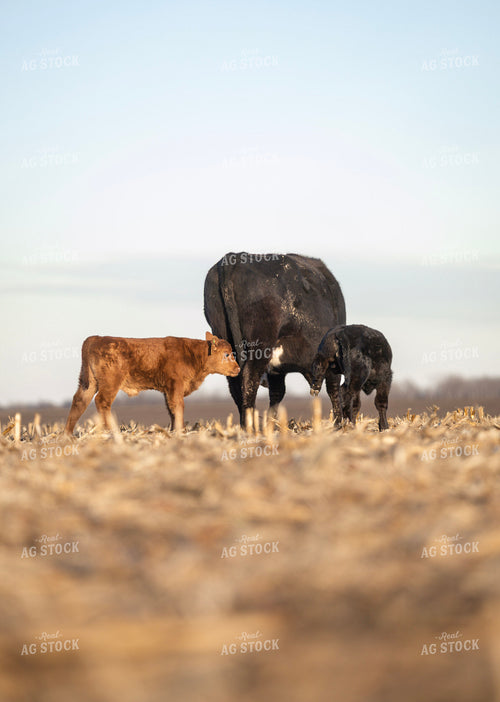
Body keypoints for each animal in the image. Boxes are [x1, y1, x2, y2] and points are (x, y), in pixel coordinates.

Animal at [64, 332, 240, 436]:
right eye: (227, 354)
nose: (238, 368)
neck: (193, 355)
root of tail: (97, 338)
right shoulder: (175, 384)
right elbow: (178, 407)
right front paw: (180, 431)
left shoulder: (167, 390)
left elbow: (171, 409)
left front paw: (173, 430)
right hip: (110, 383)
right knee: (101, 401)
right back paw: (113, 432)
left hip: (89, 384)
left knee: (79, 401)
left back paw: (68, 434)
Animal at [203, 252, 346, 426]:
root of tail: (235, 257)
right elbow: (334, 388)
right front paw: (339, 423)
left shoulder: (276, 371)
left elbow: (277, 393)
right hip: (261, 343)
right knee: (249, 378)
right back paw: (250, 425)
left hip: (224, 337)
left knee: (235, 384)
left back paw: (245, 424)